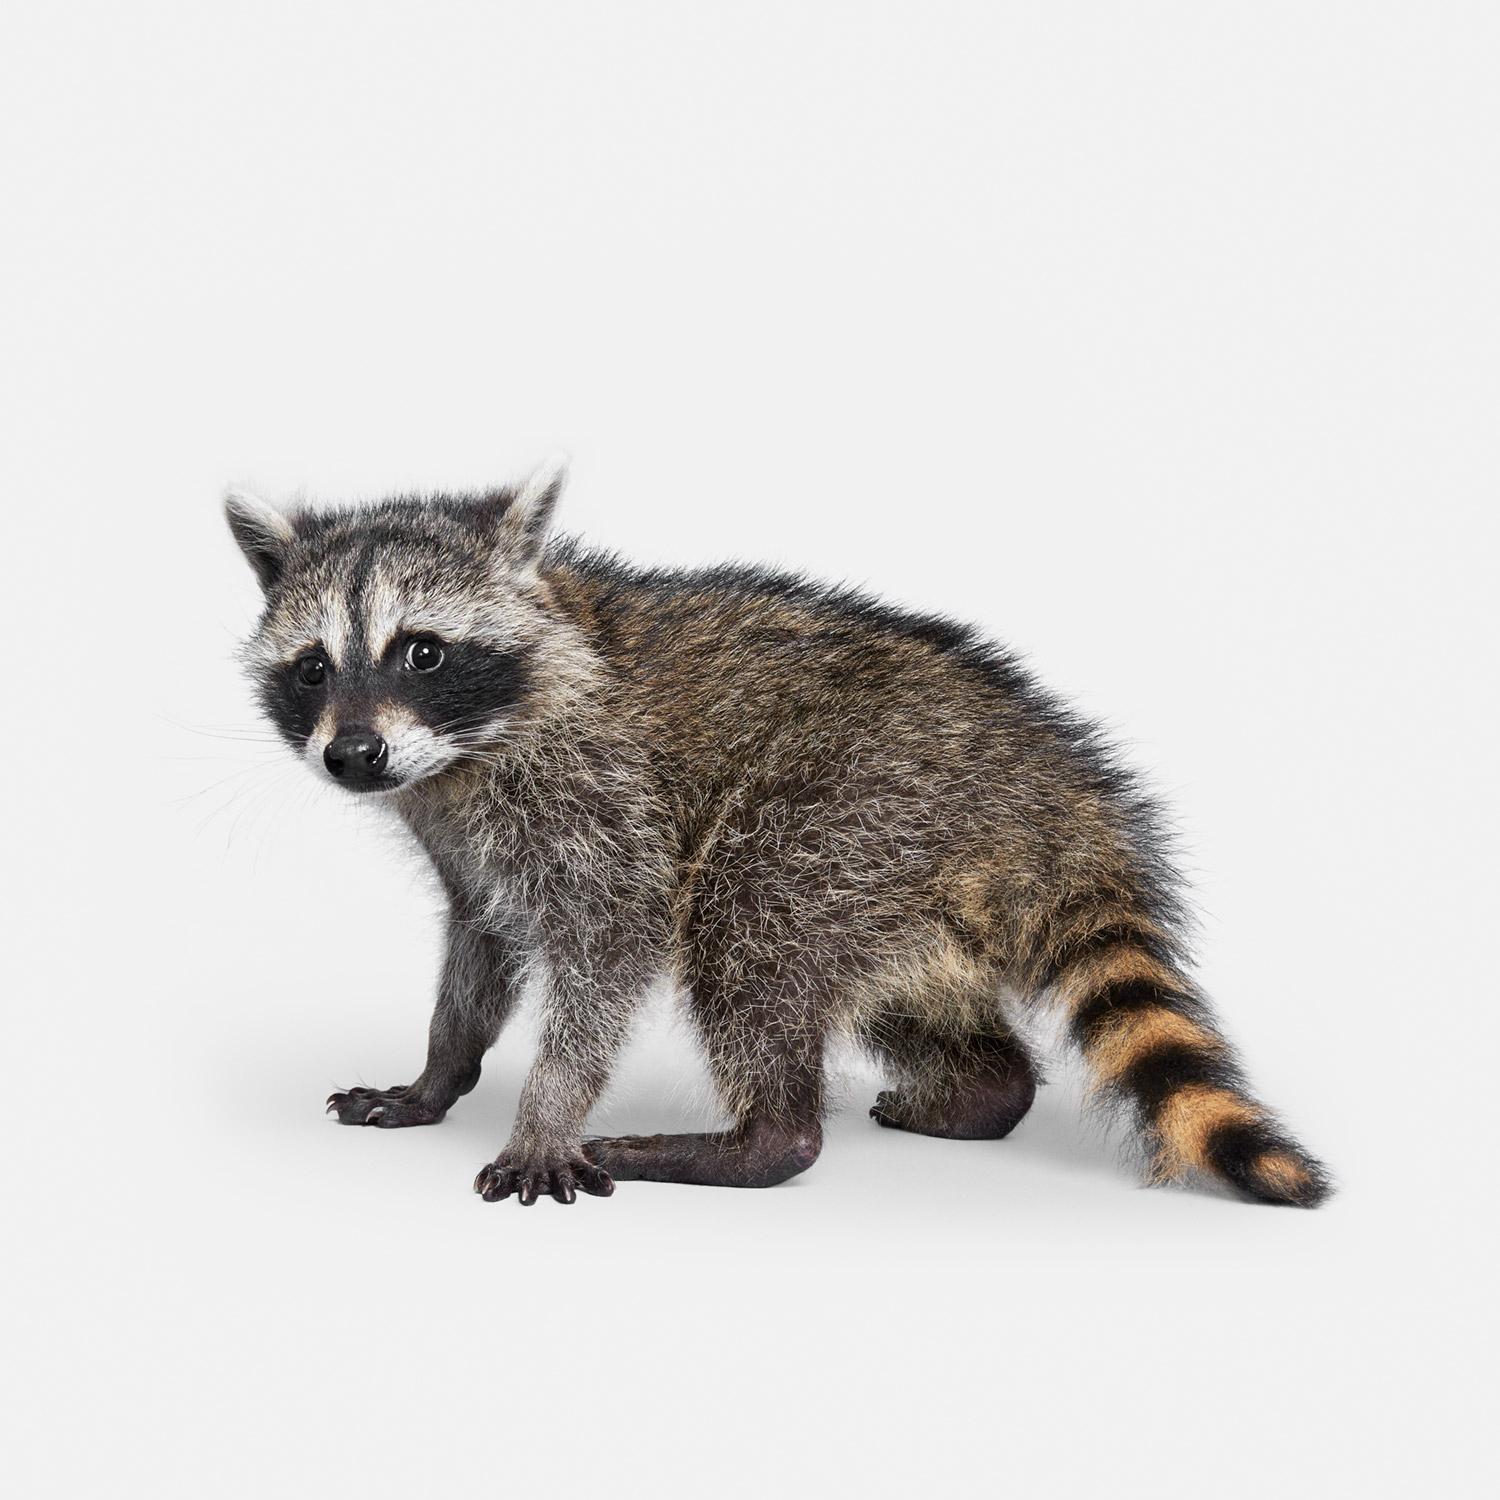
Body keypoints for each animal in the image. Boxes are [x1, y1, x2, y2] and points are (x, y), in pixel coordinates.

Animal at [226, 465, 1331, 1208]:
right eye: (315, 667)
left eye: (421, 651)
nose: (353, 755)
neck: (461, 752)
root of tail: (1052, 794)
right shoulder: (461, 830)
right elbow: (481, 941)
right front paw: (439, 1073)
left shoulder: (594, 790)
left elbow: (615, 941)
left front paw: (547, 1110)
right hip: (907, 879)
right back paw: (982, 1089)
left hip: (860, 806)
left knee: (747, 923)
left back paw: (762, 1140)